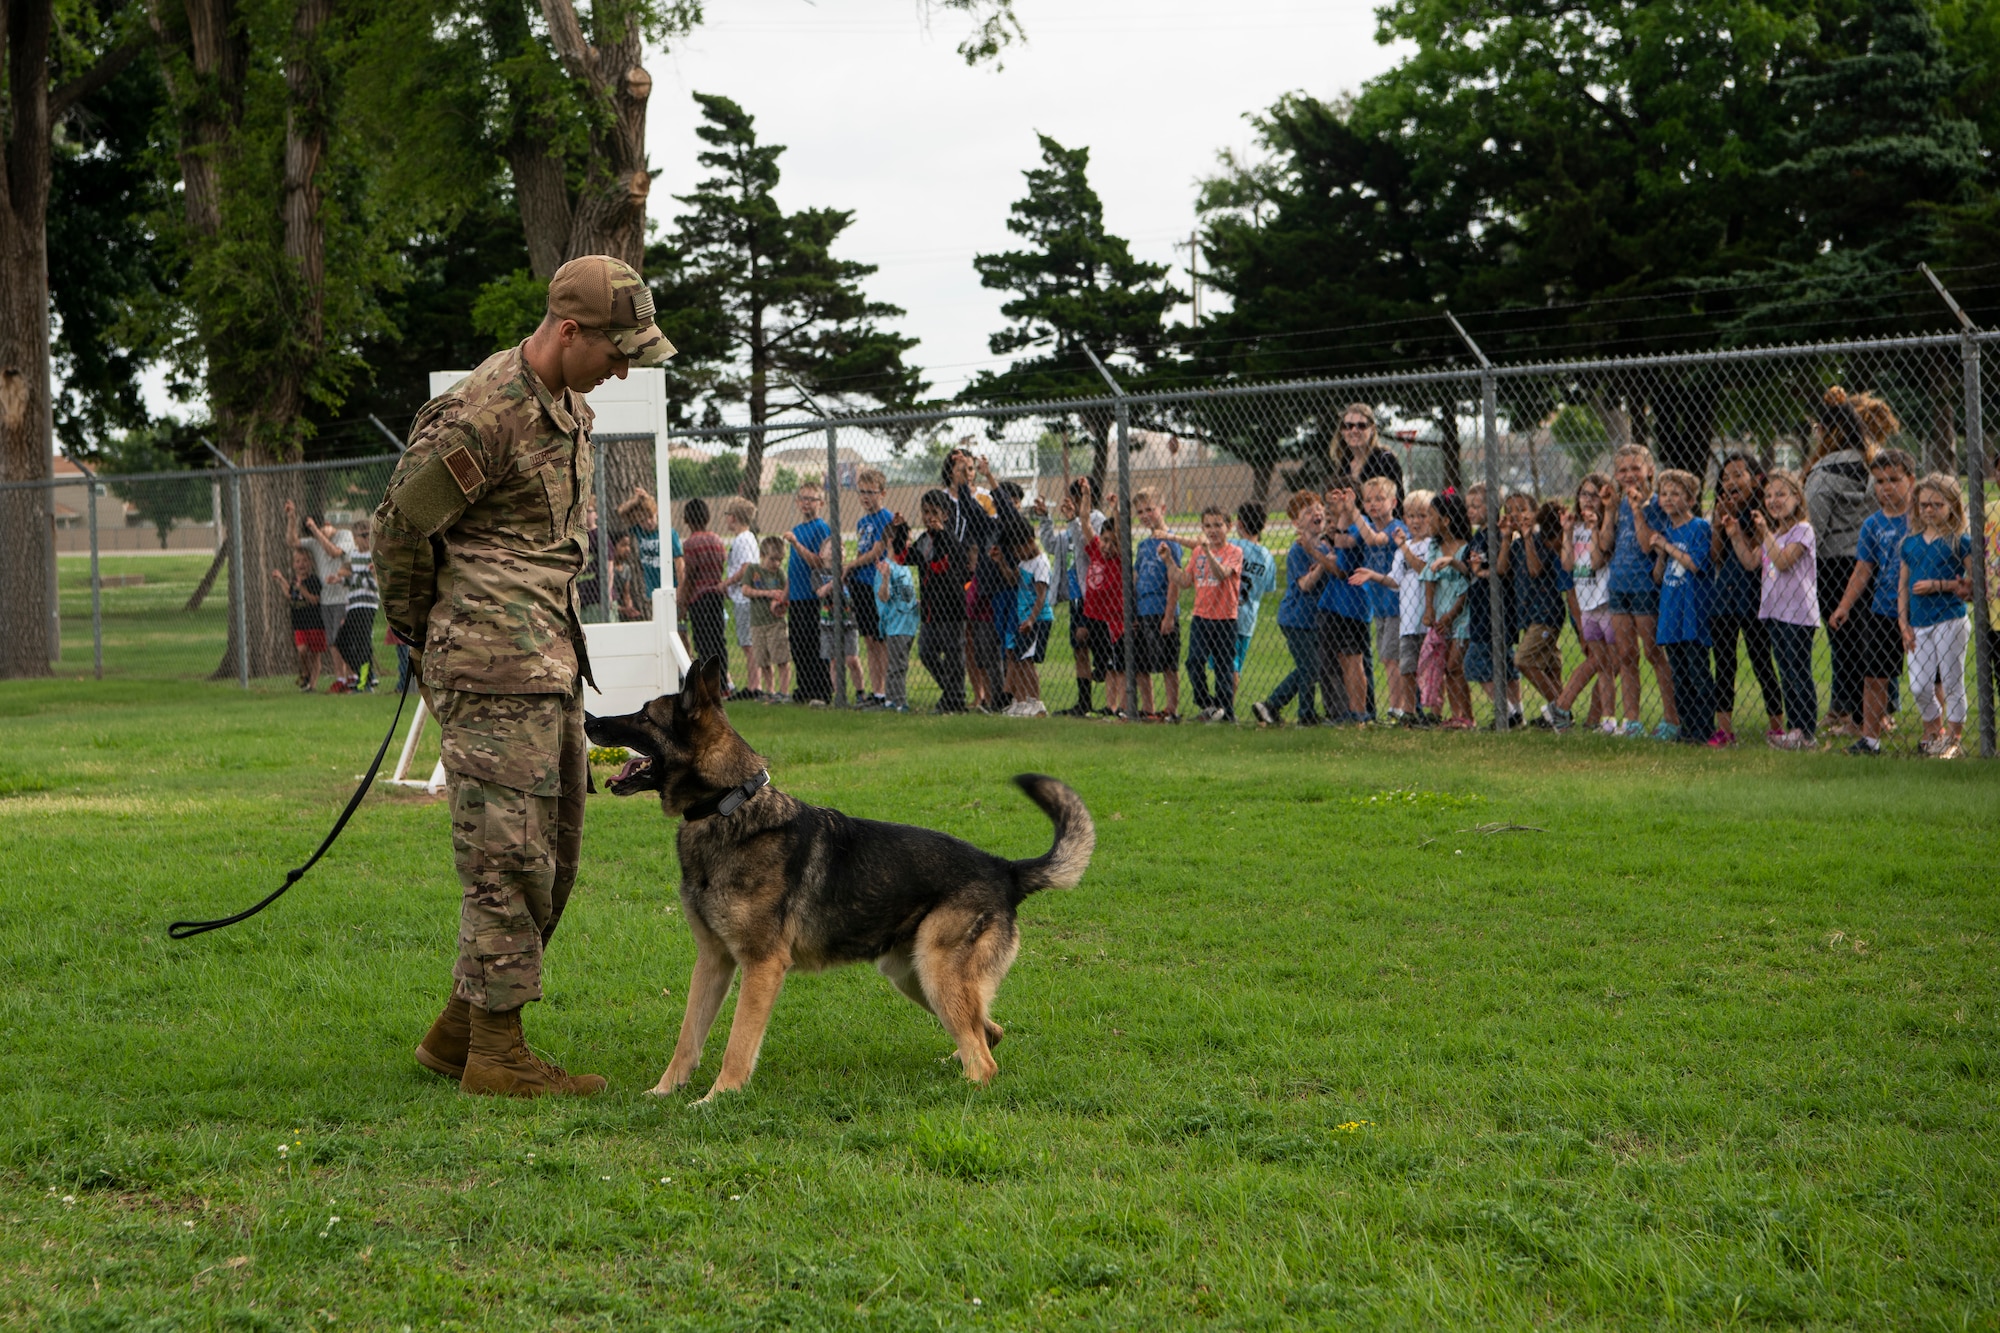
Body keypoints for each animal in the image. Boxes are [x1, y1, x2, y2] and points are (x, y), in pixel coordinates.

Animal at [584, 656, 1096, 1096]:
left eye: (644, 716)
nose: (587, 718)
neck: (729, 805)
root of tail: (1003, 869)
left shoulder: (761, 966)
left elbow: (737, 1045)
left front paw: (716, 1099)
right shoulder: (713, 961)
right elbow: (687, 1038)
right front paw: (662, 1094)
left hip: (935, 974)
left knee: (985, 1061)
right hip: (912, 974)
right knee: (989, 1031)